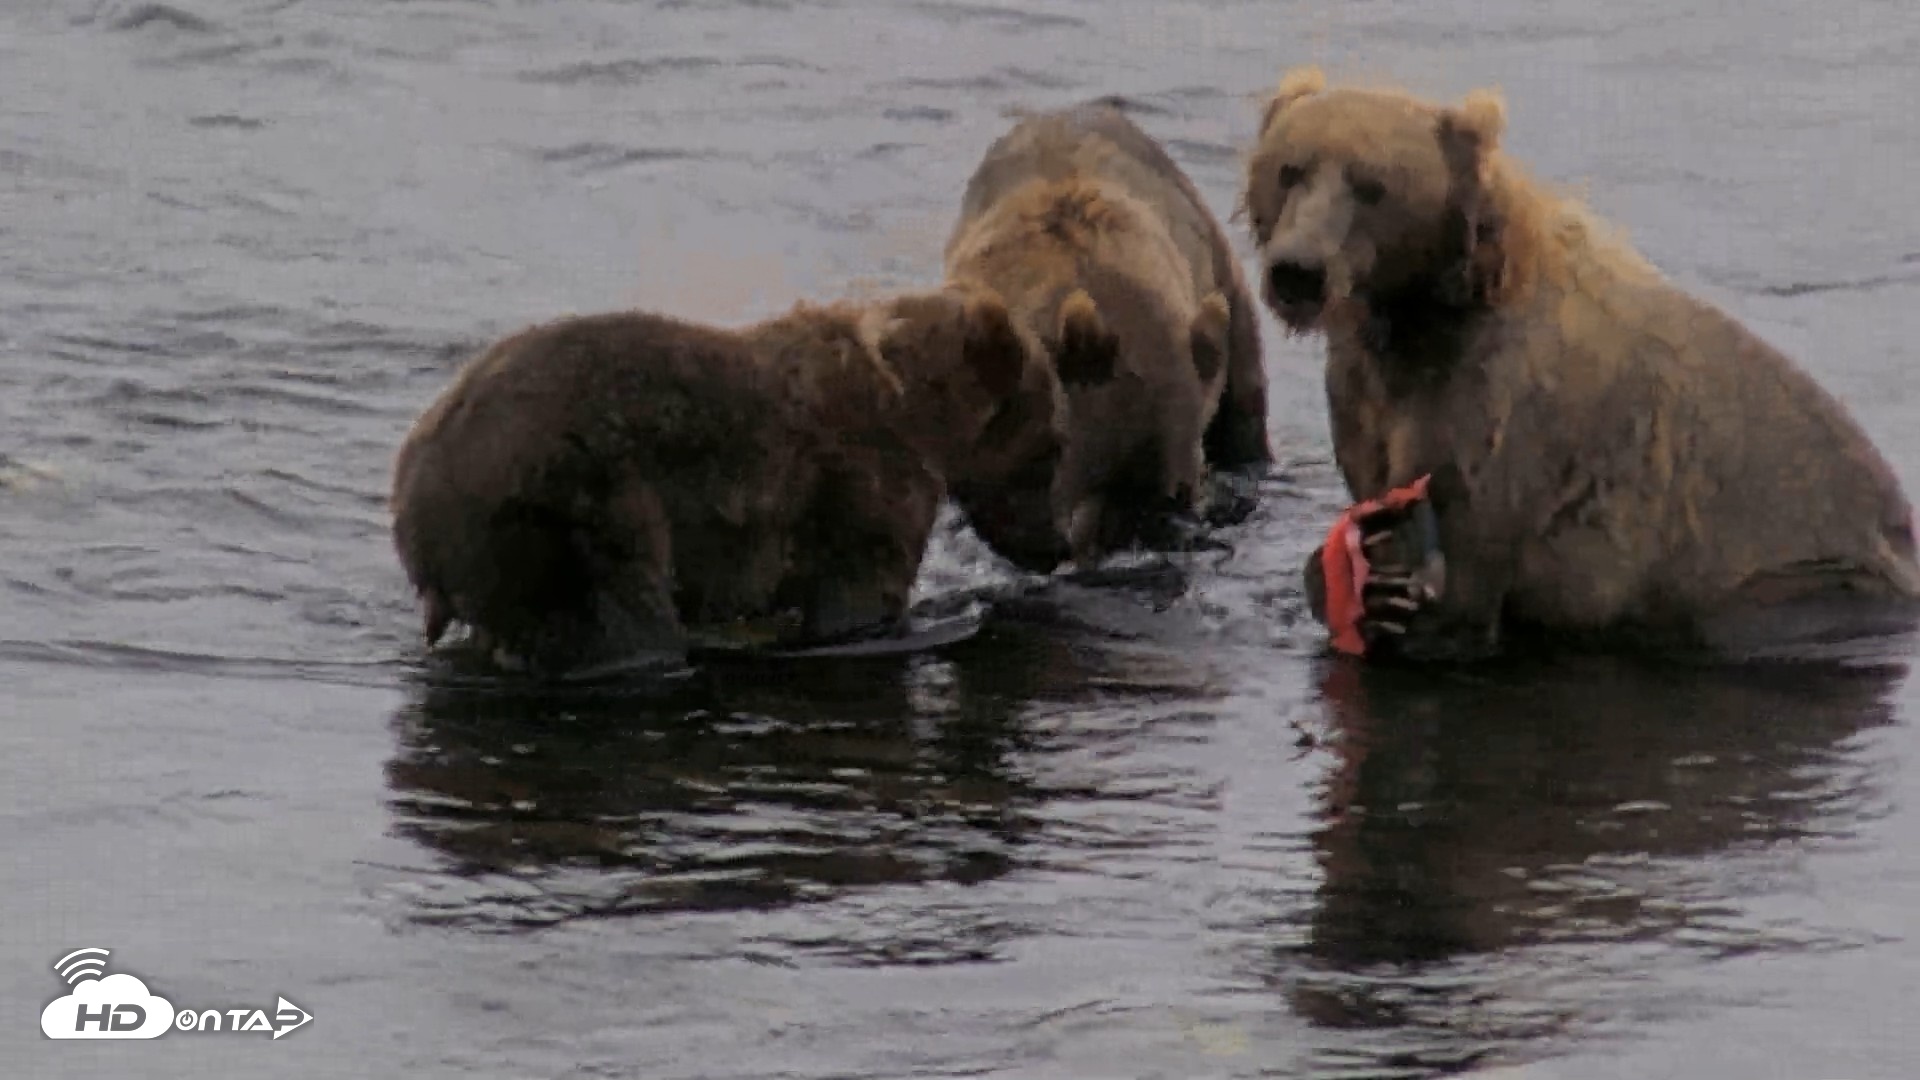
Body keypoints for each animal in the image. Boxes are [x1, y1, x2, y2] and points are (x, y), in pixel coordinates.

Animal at [389, 283, 1065, 676]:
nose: (1056, 547)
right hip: (571, 510)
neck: (921, 412)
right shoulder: (861, 484)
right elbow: (856, 594)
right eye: (1052, 449)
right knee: (619, 619)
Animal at [1242, 66, 1920, 662]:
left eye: (1372, 184)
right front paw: (1366, 585)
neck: (1424, 318)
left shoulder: (1501, 411)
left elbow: (1467, 564)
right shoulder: (1368, 393)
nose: (1299, 272)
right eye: (1290, 168)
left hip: (1807, 574)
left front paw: (1409, 608)